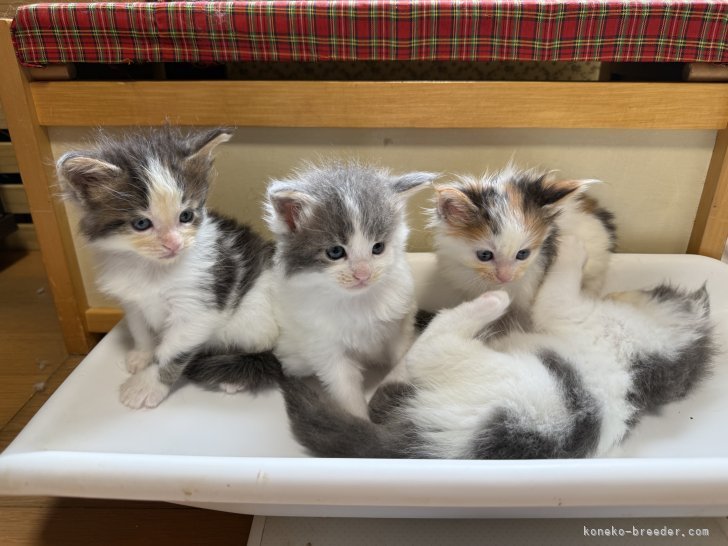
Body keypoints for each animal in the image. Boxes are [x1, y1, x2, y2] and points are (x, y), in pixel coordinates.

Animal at [57, 127, 280, 408]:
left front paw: (146, 385)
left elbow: (173, 351)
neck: (151, 269)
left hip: (254, 316)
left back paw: (234, 378)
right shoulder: (132, 300)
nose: (174, 244)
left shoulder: (198, 306)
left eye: (186, 216)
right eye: (141, 223)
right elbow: (139, 329)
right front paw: (142, 355)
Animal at [265, 161, 438, 418]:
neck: (359, 302)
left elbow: (402, 356)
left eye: (378, 247)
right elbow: (345, 388)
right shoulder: (324, 346)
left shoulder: (401, 322)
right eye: (335, 252)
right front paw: (359, 421)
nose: (363, 274)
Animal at [281, 235, 715, 459]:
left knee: (421, 354)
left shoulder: (574, 312)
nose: (616, 292)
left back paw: (491, 303)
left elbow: (558, 286)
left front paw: (575, 246)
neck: (640, 368)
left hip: (461, 367)